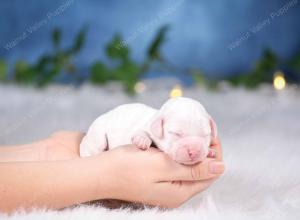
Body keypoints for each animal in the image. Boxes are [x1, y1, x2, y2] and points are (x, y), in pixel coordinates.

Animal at [79, 97, 217, 164]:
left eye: (206, 134)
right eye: (176, 134)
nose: (194, 151)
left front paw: (210, 151)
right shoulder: (146, 126)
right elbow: (142, 132)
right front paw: (142, 140)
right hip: (97, 134)